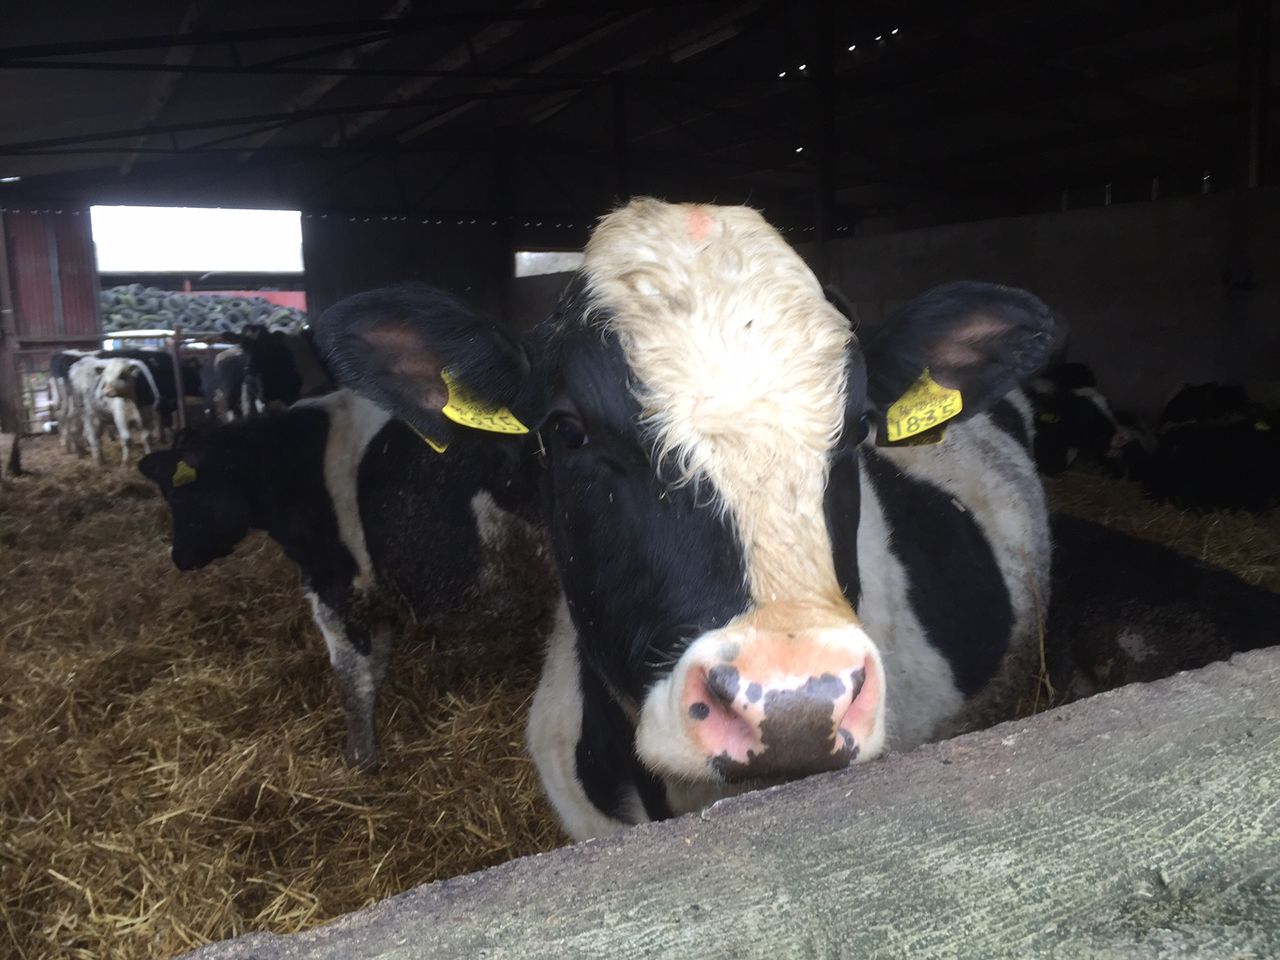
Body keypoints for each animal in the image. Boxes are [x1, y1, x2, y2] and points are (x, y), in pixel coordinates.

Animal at [138, 387, 550, 770]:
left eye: (177, 494)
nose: (179, 557)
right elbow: (375, 668)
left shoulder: (336, 587)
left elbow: (351, 680)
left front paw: (359, 761)